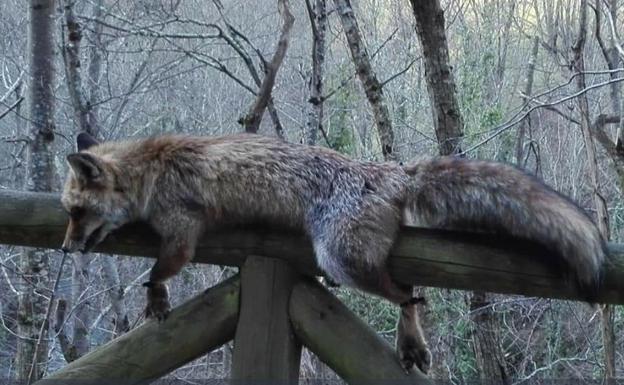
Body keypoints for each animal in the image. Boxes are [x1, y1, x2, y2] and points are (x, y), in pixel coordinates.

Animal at [61, 131, 608, 372]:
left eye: (76, 212)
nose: (66, 249)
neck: (150, 169)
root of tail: (392, 171)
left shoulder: (183, 229)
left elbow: (160, 268)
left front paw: (155, 296)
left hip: (340, 258)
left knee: (406, 291)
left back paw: (409, 328)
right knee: (411, 288)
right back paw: (410, 343)